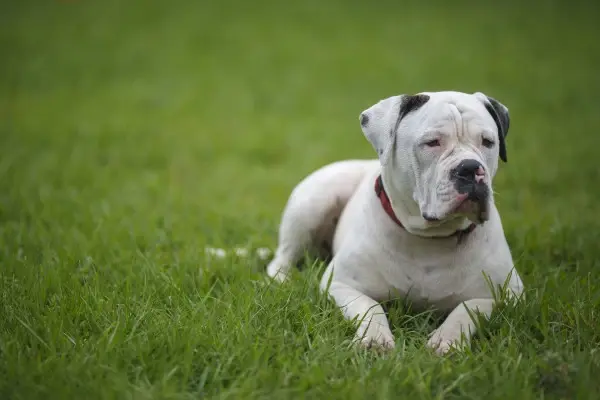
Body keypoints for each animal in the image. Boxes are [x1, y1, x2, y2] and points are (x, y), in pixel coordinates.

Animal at [268, 90, 524, 354]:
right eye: (432, 142)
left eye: (488, 141)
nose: (471, 168)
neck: (432, 237)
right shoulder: (341, 284)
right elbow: (370, 307)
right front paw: (374, 339)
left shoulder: (507, 295)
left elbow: (467, 309)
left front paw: (446, 340)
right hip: (315, 201)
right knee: (282, 258)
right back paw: (282, 280)